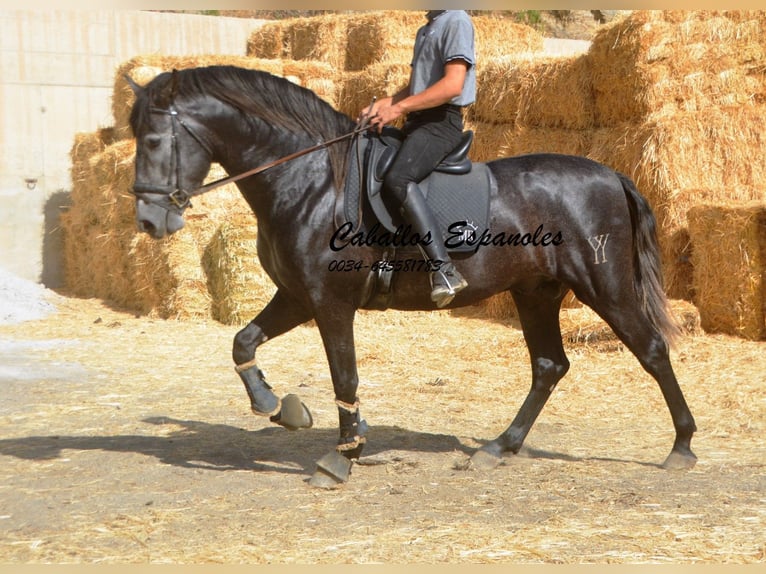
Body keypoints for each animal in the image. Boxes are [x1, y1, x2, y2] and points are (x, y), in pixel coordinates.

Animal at [129, 66, 700, 490]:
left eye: (154, 140)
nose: (149, 222)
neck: (310, 181)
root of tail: (611, 174)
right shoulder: (296, 295)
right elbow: (242, 342)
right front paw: (280, 408)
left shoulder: (329, 302)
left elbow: (345, 377)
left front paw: (342, 456)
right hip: (535, 293)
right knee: (548, 366)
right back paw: (498, 447)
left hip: (605, 286)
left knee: (651, 350)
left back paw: (682, 446)